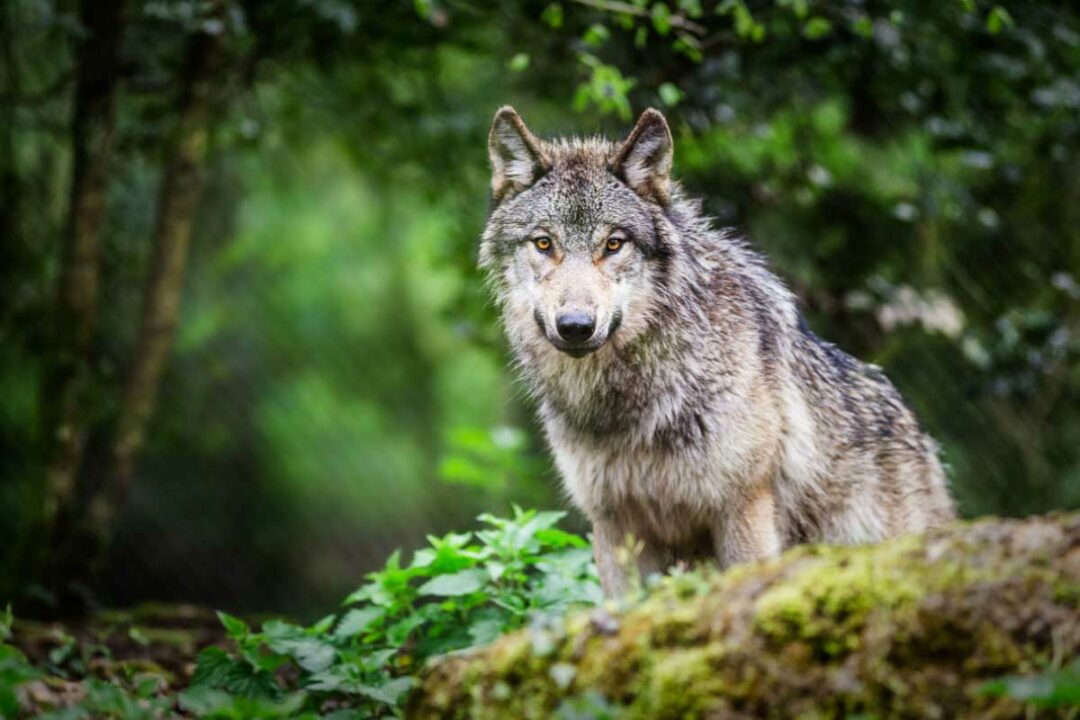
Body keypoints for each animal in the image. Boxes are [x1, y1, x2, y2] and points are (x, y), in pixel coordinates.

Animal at [480, 106, 956, 596]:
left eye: (613, 244)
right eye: (544, 243)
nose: (575, 327)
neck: (632, 404)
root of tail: (918, 434)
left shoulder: (743, 509)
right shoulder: (614, 526)